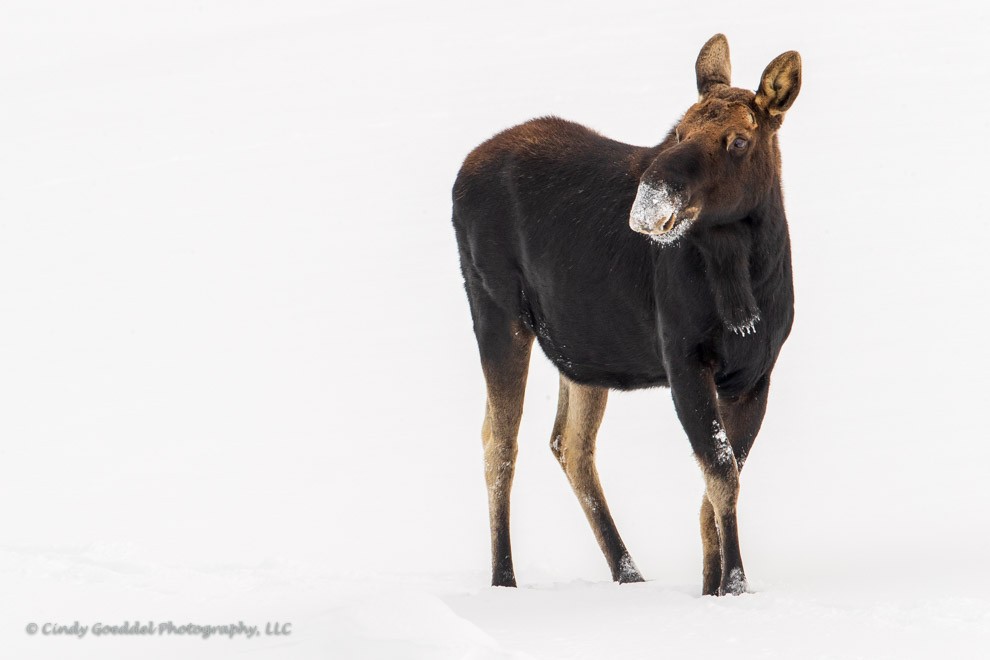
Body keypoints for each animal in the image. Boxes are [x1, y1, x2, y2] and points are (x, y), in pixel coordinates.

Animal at [454, 33, 804, 596]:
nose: (649, 202)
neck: (747, 283)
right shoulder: (684, 359)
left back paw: (629, 573)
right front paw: (733, 584)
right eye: (679, 129)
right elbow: (721, 474)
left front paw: (714, 587)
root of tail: (461, 171)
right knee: (500, 441)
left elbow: (718, 484)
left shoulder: (756, 373)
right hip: (497, 311)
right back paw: (504, 580)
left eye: (738, 141)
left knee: (569, 444)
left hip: (579, 348)